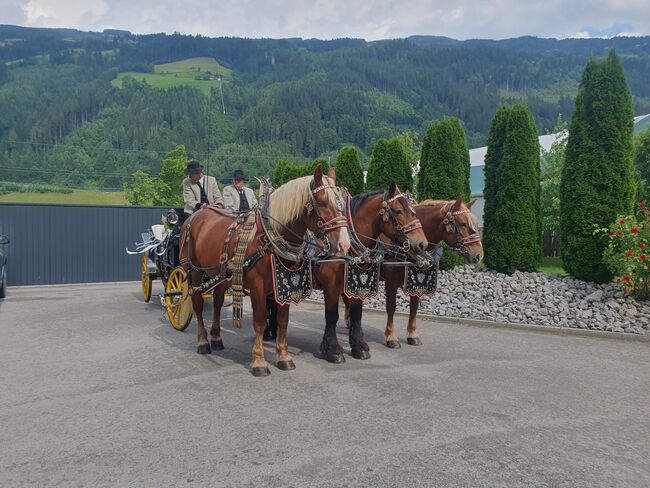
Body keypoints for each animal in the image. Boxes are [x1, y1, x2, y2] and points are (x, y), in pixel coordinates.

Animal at [181, 166, 350, 376]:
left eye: (341, 201)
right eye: (322, 202)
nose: (344, 244)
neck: (268, 238)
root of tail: (198, 214)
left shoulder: (284, 286)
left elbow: (283, 321)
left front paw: (284, 357)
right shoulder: (258, 288)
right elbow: (260, 322)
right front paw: (259, 361)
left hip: (220, 276)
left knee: (218, 303)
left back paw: (216, 338)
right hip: (194, 271)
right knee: (197, 304)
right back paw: (203, 342)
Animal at [380, 194, 480, 346]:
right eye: (463, 223)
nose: (479, 255)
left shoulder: (417, 282)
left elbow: (414, 307)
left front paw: (412, 335)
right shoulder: (390, 283)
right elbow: (391, 307)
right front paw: (391, 336)